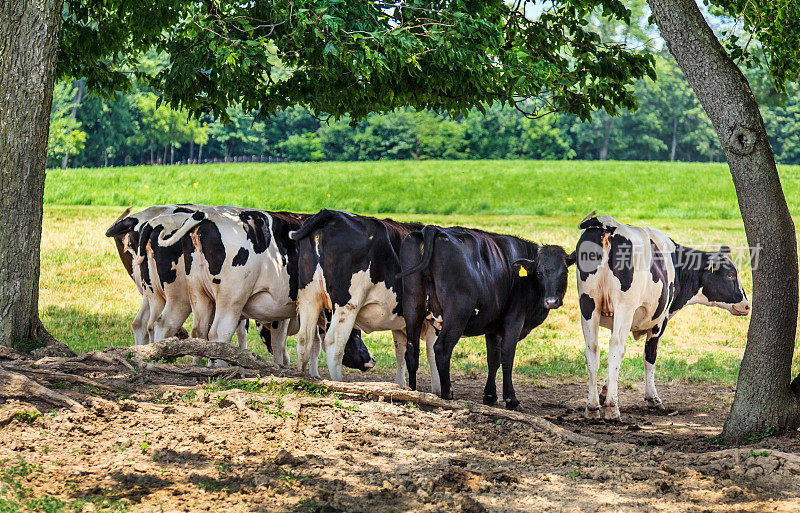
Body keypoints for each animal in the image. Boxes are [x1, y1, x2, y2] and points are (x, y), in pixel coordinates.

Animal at [148, 207, 376, 372]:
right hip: (226, 299)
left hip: (196, 295)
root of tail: (208, 216)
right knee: (217, 332)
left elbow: (295, 344)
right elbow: (292, 344)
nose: (371, 360)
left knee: (190, 329)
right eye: (356, 334)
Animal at [290, 207, 438, 388]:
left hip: (309, 297)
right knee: (334, 342)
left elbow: (401, 351)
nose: (372, 360)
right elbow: (432, 354)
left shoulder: (401, 323)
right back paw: (339, 382)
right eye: (357, 334)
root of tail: (330, 213)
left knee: (304, 339)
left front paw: (401, 385)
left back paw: (303, 378)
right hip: (347, 305)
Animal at [398, 224, 576, 408]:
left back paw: (412, 392)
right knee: (441, 349)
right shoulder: (514, 321)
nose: (551, 301)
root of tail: (432, 228)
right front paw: (511, 399)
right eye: (539, 273)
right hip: (457, 315)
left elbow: (493, 359)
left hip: (412, 307)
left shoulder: (492, 327)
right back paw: (447, 393)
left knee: (412, 350)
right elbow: (507, 356)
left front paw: (490, 395)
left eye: (564, 273)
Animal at [576, 214, 752, 418]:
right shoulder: (660, 321)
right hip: (624, 306)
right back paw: (613, 408)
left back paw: (592, 406)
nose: (746, 305)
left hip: (588, 304)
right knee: (616, 347)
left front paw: (604, 391)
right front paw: (652, 398)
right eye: (730, 275)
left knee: (592, 349)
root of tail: (609, 226)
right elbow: (650, 356)